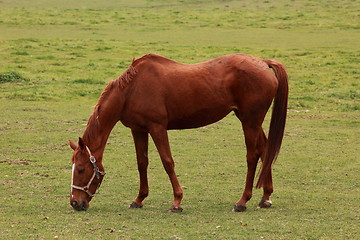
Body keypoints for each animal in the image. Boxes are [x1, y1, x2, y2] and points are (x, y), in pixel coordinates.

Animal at [68, 52, 286, 212]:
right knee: (265, 149)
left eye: (81, 169)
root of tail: (263, 62)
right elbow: (142, 163)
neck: (131, 90)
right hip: (249, 120)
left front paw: (177, 202)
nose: (75, 202)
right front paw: (139, 199)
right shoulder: (138, 130)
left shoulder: (157, 128)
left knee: (253, 155)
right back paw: (266, 197)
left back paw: (242, 201)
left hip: (250, 122)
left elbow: (167, 162)